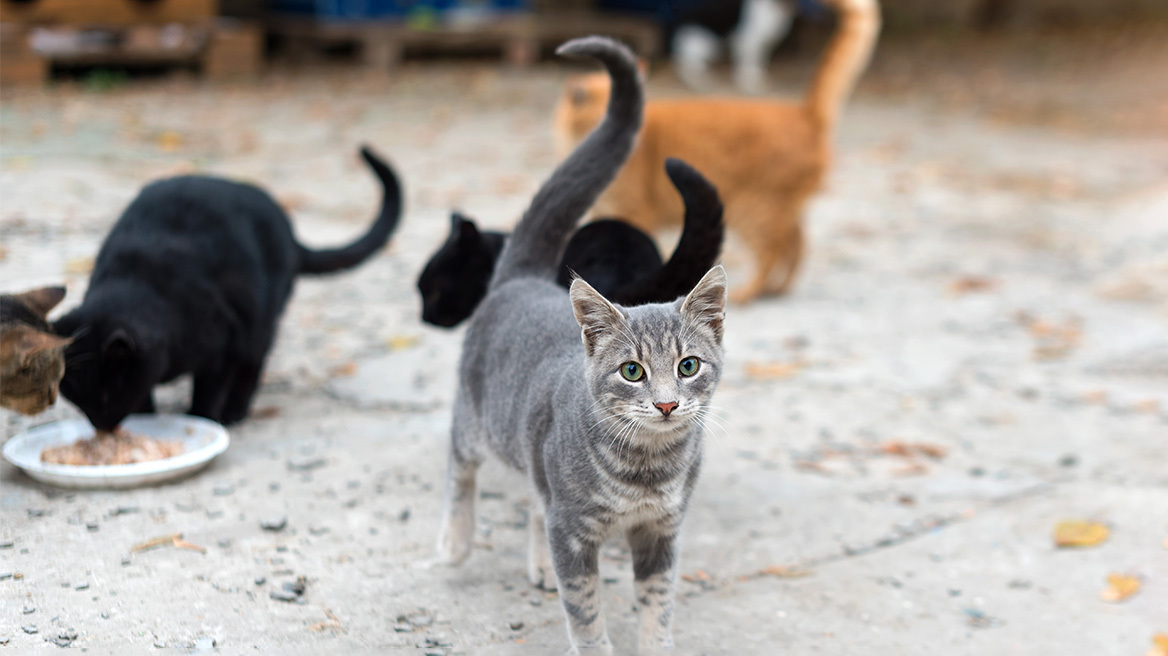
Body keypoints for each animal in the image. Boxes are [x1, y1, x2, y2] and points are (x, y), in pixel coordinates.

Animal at [56, 145, 404, 427]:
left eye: (105, 398)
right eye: (77, 400)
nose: (101, 425)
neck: (136, 279)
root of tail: (290, 233)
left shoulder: (223, 342)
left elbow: (208, 391)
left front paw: (203, 418)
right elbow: (145, 392)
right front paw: (146, 419)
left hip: (259, 323)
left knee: (252, 365)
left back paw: (235, 412)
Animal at [553, 0, 878, 301]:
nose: (634, 133)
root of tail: (803, 113)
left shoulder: (635, 214)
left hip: (753, 210)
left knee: (774, 250)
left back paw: (749, 293)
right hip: (775, 209)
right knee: (797, 243)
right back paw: (778, 289)